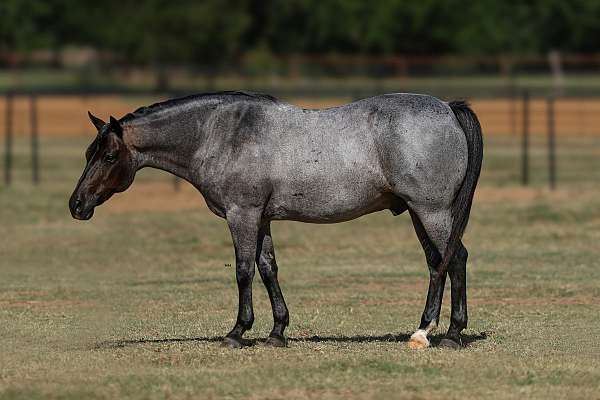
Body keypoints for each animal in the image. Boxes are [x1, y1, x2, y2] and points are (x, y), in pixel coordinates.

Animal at [70, 92, 482, 348]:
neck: (222, 133)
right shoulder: (261, 218)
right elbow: (268, 268)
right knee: (437, 263)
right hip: (418, 212)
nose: (76, 205)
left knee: (456, 259)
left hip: (432, 211)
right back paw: (423, 329)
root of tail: (447, 108)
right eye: (89, 152)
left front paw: (237, 331)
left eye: (109, 156)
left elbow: (243, 270)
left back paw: (449, 334)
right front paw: (277, 331)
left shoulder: (242, 214)